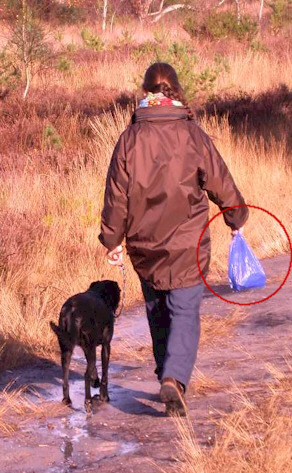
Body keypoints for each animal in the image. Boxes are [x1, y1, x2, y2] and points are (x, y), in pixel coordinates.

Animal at [50, 280, 120, 410]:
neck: (100, 293)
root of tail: (71, 311)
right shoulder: (106, 345)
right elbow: (104, 374)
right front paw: (104, 396)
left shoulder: (86, 348)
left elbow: (93, 368)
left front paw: (95, 381)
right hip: (90, 347)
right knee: (85, 375)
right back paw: (88, 400)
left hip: (66, 349)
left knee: (65, 376)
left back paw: (67, 399)